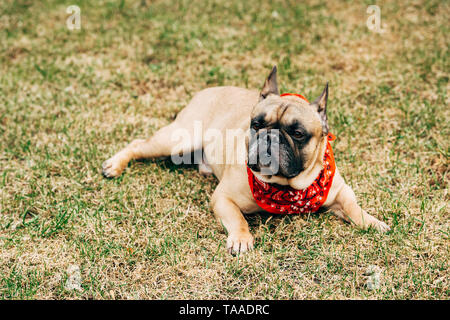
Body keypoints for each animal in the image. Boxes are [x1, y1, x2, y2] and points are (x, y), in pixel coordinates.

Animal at [103, 66, 390, 254]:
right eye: (256, 124)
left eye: (297, 133)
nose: (270, 137)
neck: (286, 188)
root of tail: (209, 90)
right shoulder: (223, 198)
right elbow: (238, 219)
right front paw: (241, 239)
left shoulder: (340, 191)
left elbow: (354, 207)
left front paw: (372, 222)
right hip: (178, 140)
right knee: (138, 144)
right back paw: (115, 165)